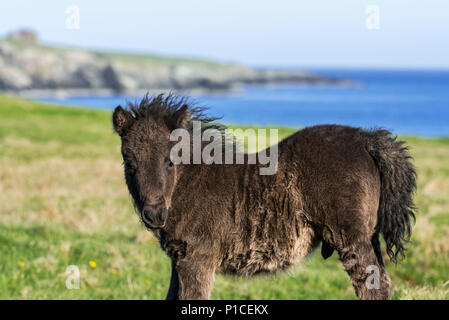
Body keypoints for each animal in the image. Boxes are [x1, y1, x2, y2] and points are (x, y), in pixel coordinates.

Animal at [113, 93, 416, 300]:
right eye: (129, 162)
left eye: (170, 161)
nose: (154, 214)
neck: (188, 183)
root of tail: (366, 139)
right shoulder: (179, 259)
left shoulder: (197, 258)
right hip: (369, 235)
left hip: (350, 238)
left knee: (372, 286)